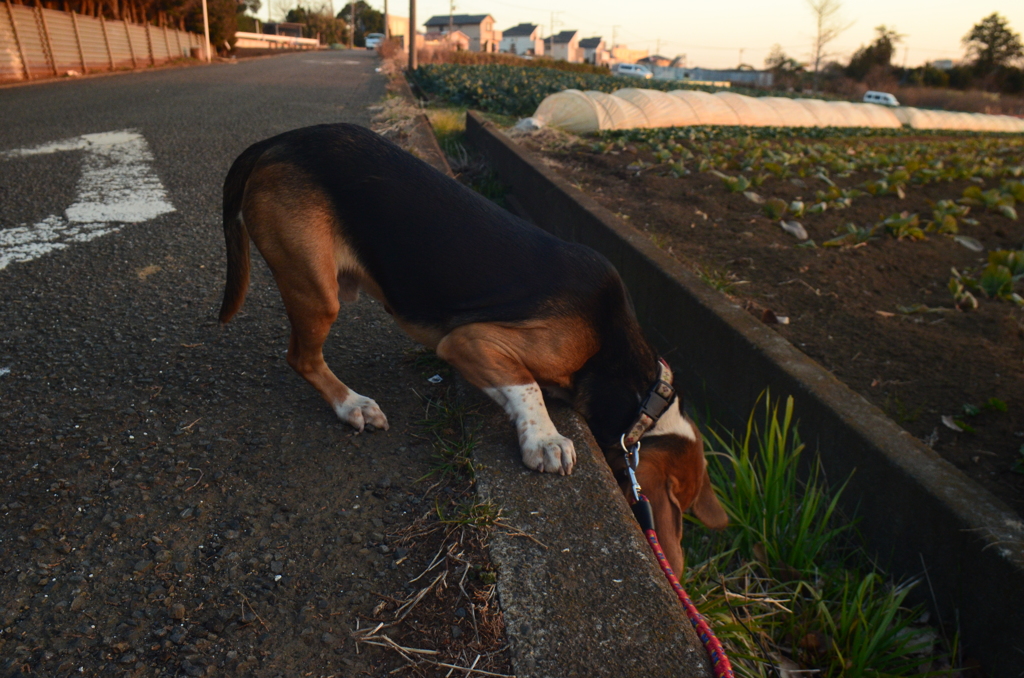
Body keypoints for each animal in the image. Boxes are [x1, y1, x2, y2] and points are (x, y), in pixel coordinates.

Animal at [218, 124, 729, 577]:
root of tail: (277, 141)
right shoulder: (470, 341)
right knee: (302, 358)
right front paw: (545, 440)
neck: (638, 385)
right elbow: (527, 387)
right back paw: (353, 405)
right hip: (318, 288)